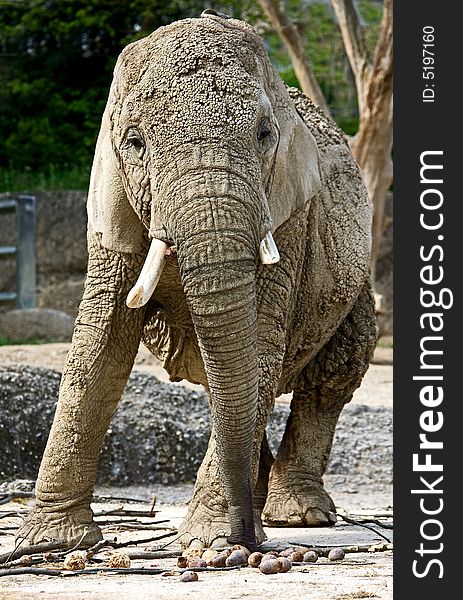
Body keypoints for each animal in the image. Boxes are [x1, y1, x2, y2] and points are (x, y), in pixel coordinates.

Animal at [16, 10, 376, 552]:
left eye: (265, 135)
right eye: (135, 142)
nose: (246, 541)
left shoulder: (288, 216)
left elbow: (261, 338)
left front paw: (210, 544)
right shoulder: (113, 209)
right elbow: (100, 345)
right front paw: (50, 543)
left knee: (330, 376)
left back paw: (296, 515)